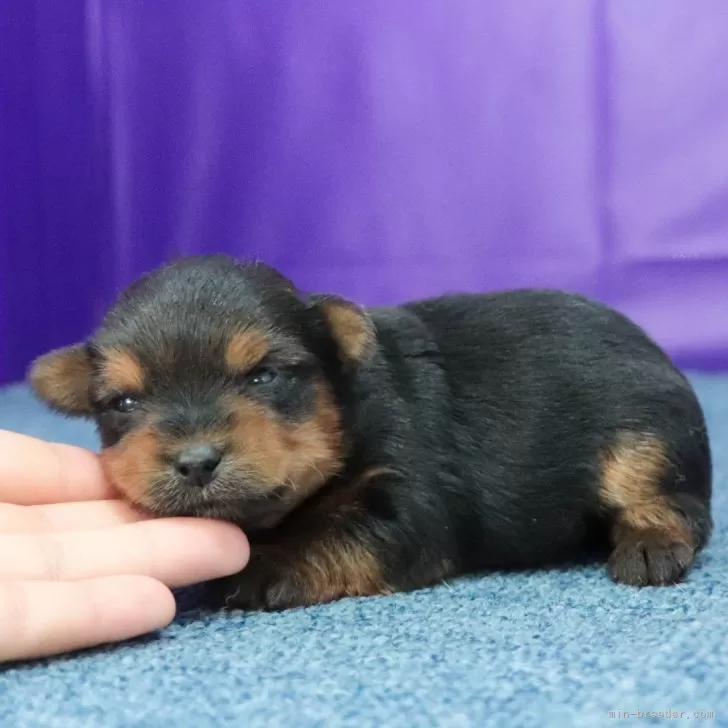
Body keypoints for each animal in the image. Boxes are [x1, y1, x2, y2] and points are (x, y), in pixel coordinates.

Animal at [28, 255, 712, 608]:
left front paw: (255, 569)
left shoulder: (409, 497)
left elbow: (334, 539)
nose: (195, 462)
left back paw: (648, 548)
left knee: (672, 500)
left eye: (264, 376)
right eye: (123, 402)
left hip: (645, 434)